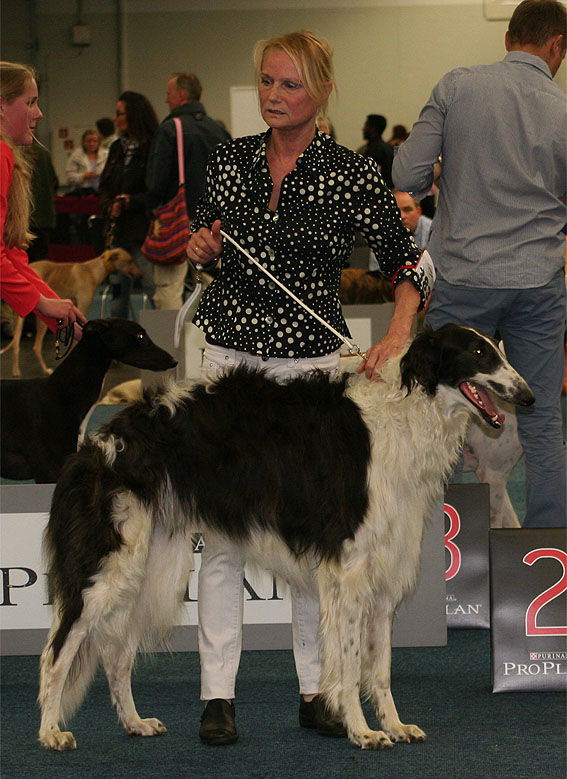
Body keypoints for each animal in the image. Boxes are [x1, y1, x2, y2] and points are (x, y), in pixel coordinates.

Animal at [0, 248, 141, 377]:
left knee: (16, 344)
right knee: (35, 346)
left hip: (23, 318)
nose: (140, 275)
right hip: (39, 320)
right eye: (130, 261)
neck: (93, 271)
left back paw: (16, 370)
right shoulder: (83, 307)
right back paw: (43, 370)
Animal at [37, 324, 533, 752]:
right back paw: (50, 732)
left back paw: (135, 722)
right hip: (106, 568)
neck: (401, 414)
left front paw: (394, 725)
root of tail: (98, 442)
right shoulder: (349, 570)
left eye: (497, 348)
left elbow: (380, 669)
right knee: (57, 652)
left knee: (115, 654)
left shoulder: (382, 572)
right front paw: (363, 731)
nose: (527, 397)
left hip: (148, 566)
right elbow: (350, 664)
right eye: (478, 352)